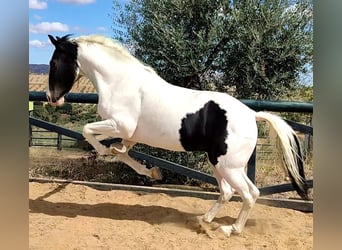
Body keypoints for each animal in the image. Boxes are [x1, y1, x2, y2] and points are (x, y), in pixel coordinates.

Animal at [46, 34, 310, 236]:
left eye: (53, 63)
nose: (52, 99)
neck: (120, 83)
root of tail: (252, 115)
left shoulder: (121, 125)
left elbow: (88, 132)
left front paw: (113, 155)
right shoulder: (127, 133)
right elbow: (112, 147)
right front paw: (151, 170)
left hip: (229, 166)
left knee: (249, 193)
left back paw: (230, 229)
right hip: (219, 163)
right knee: (227, 192)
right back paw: (205, 220)